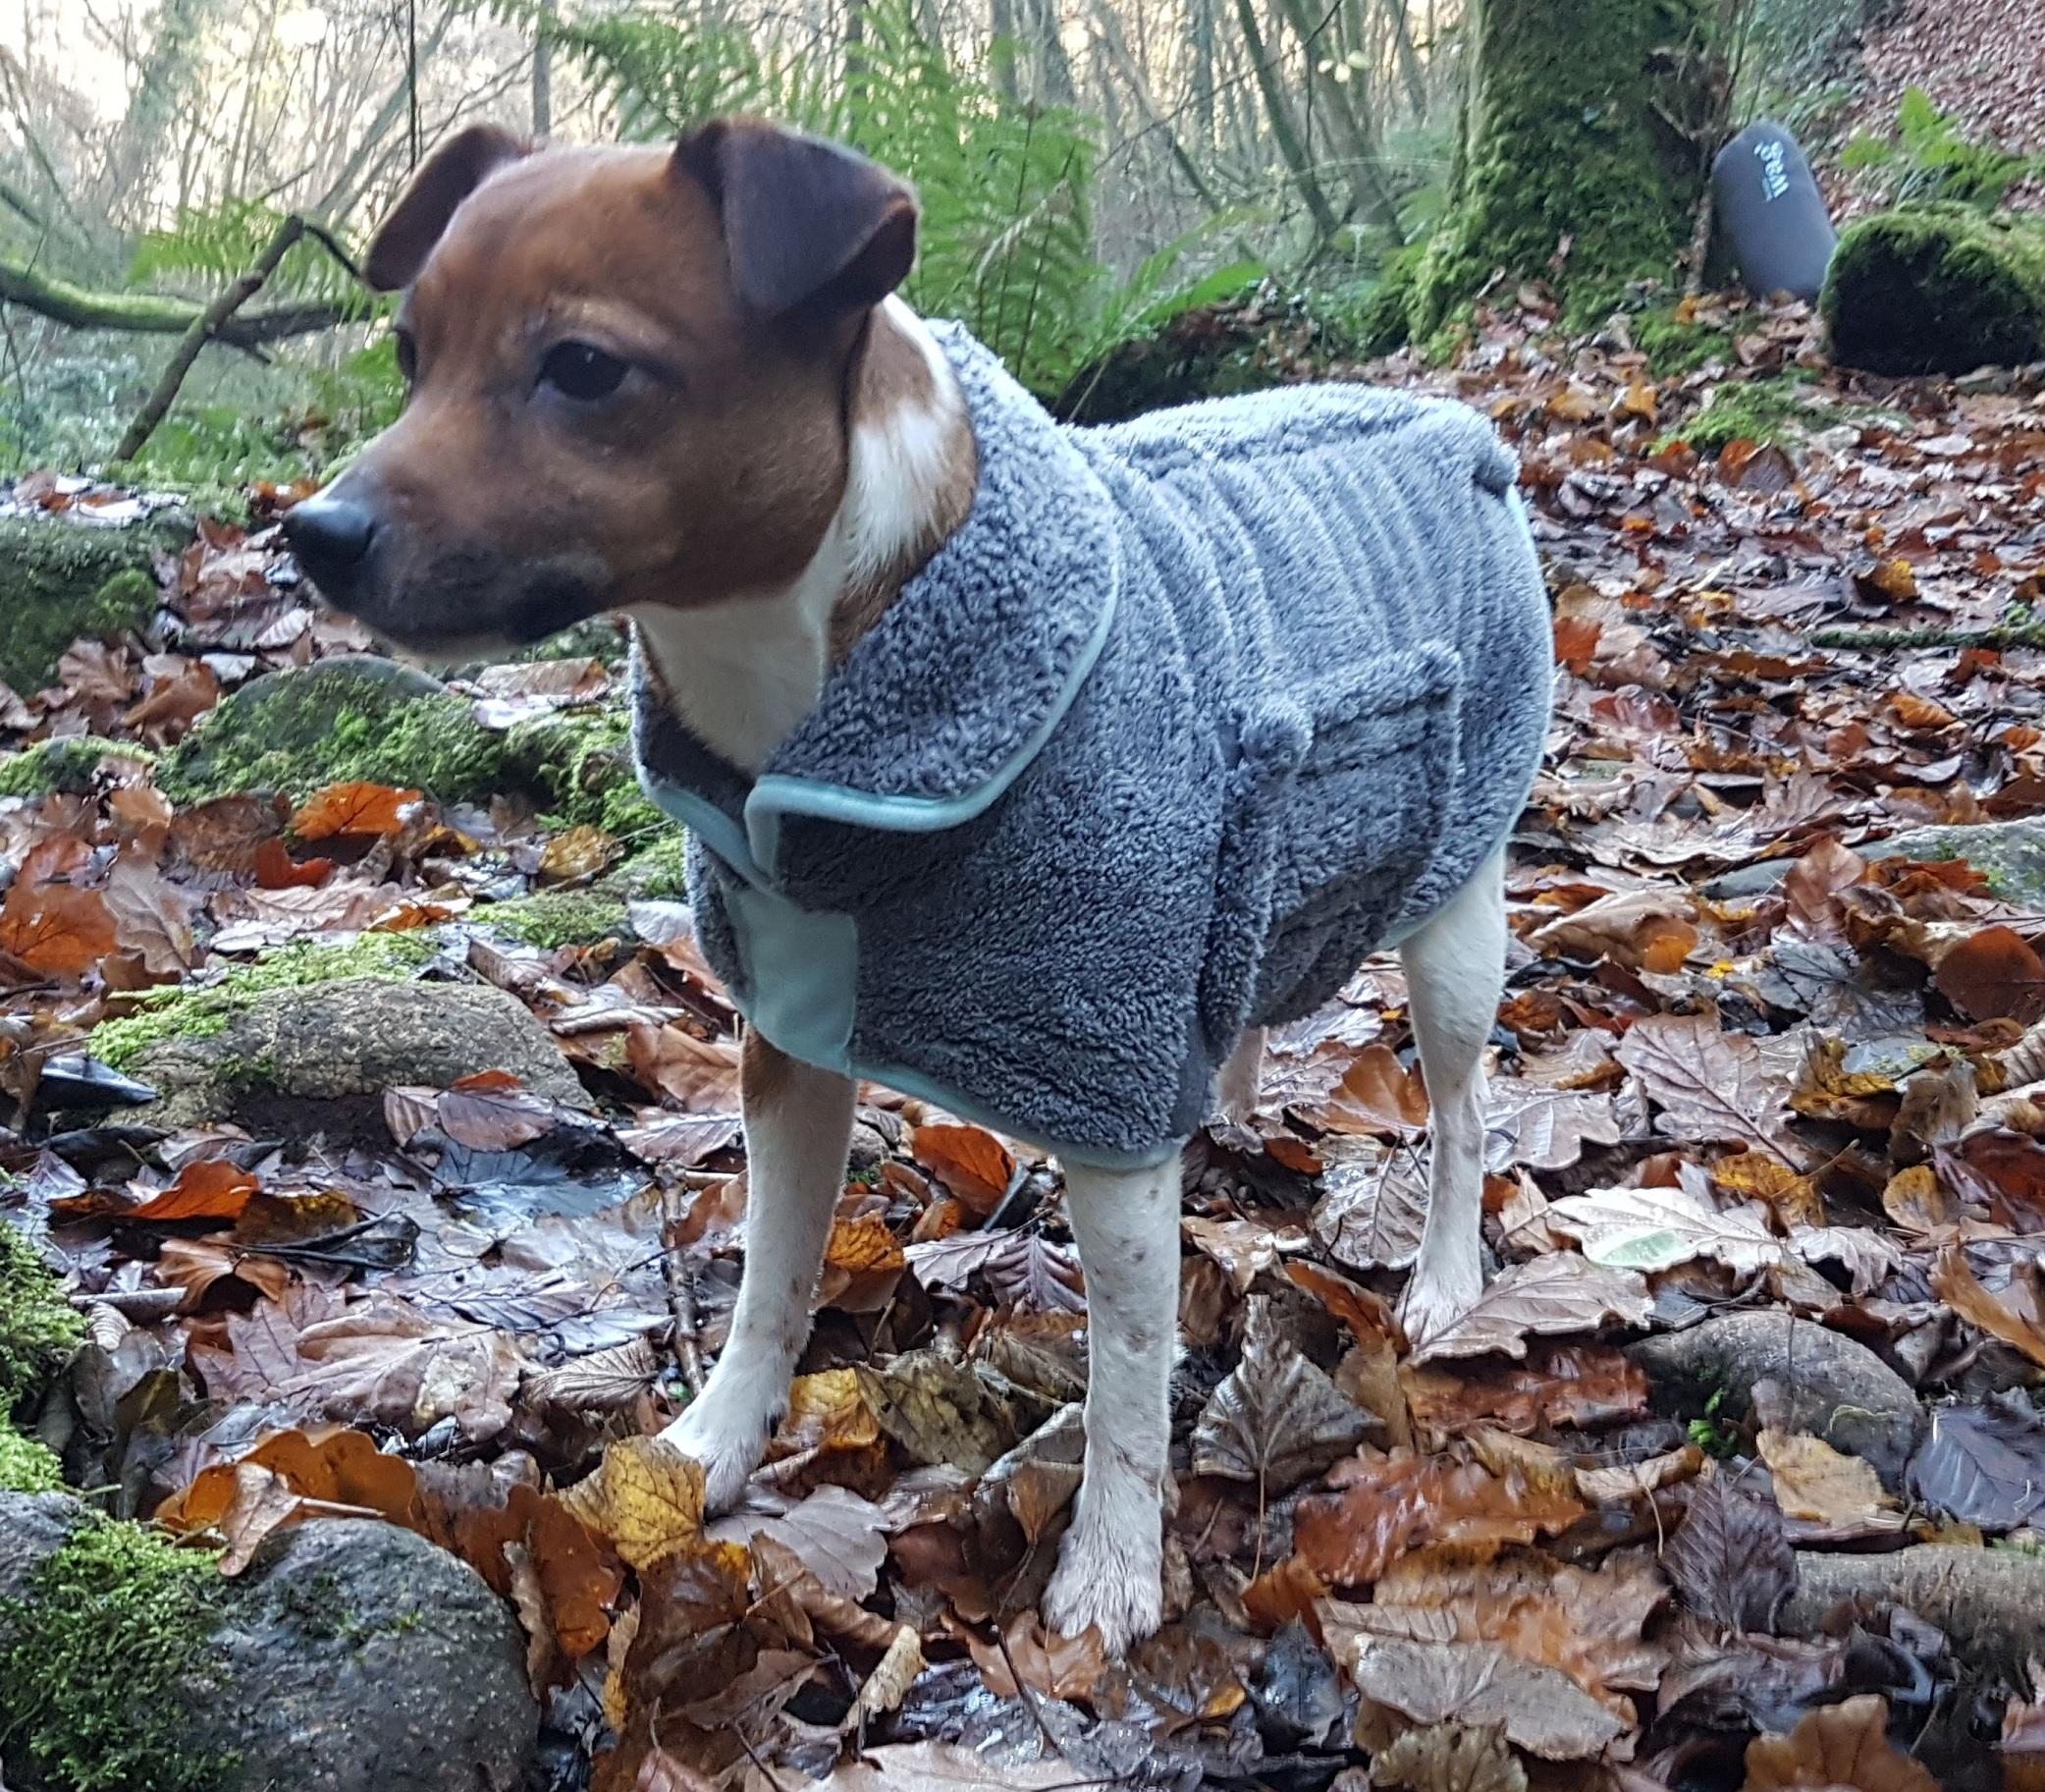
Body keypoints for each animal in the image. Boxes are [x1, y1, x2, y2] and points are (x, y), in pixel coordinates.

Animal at [288, 119, 1505, 1644]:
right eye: (409, 354)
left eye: (582, 367)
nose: (312, 532)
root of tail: (1456, 431)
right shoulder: (788, 1042)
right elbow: (772, 1273)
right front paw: (714, 1444)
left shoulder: (1103, 1089)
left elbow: (1124, 1374)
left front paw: (1112, 1564)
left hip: (1457, 915)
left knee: (1461, 1115)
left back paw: (1448, 1277)